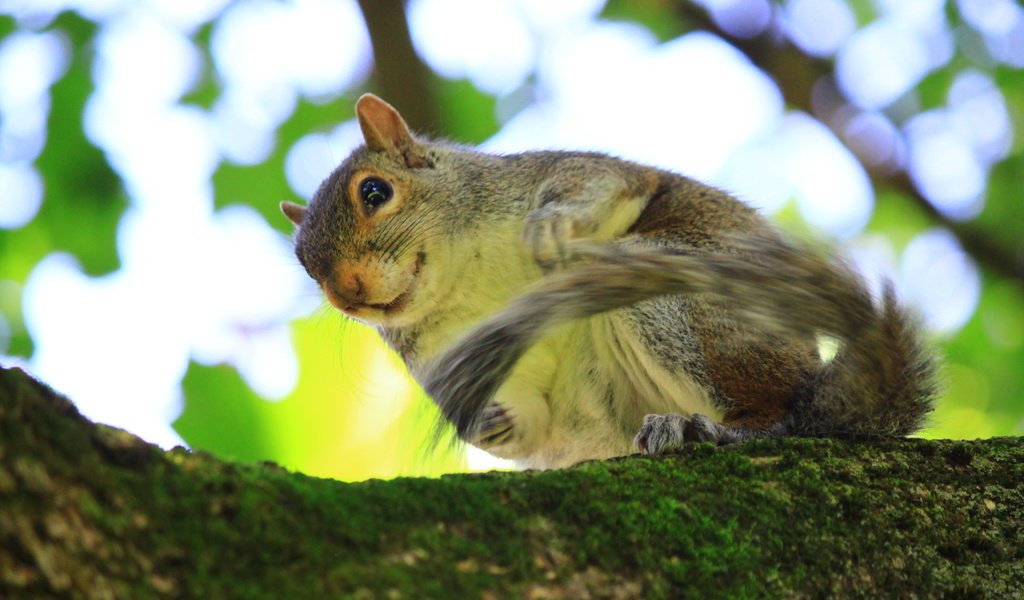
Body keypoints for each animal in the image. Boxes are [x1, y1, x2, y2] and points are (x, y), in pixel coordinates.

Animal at [278, 92, 937, 466]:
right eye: (304, 264)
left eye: (374, 192)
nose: (347, 295)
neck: (466, 278)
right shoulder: (450, 357)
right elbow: (524, 422)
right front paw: (487, 421)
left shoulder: (563, 176)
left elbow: (606, 185)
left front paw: (549, 226)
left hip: (682, 304)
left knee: (780, 416)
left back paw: (714, 430)